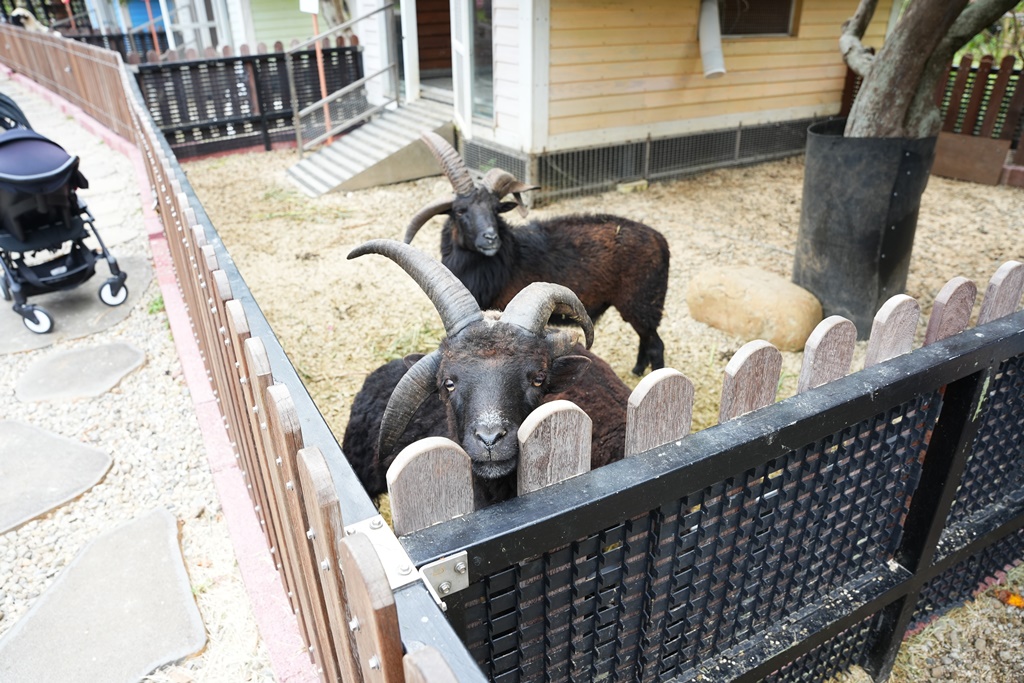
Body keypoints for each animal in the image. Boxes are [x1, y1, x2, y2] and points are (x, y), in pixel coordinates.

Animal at [407, 132, 671, 378]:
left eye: (495, 209)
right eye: (460, 211)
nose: (491, 238)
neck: (507, 257)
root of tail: (661, 240)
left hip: (642, 302)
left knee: (656, 345)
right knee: (646, 339)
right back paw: (637, 370)